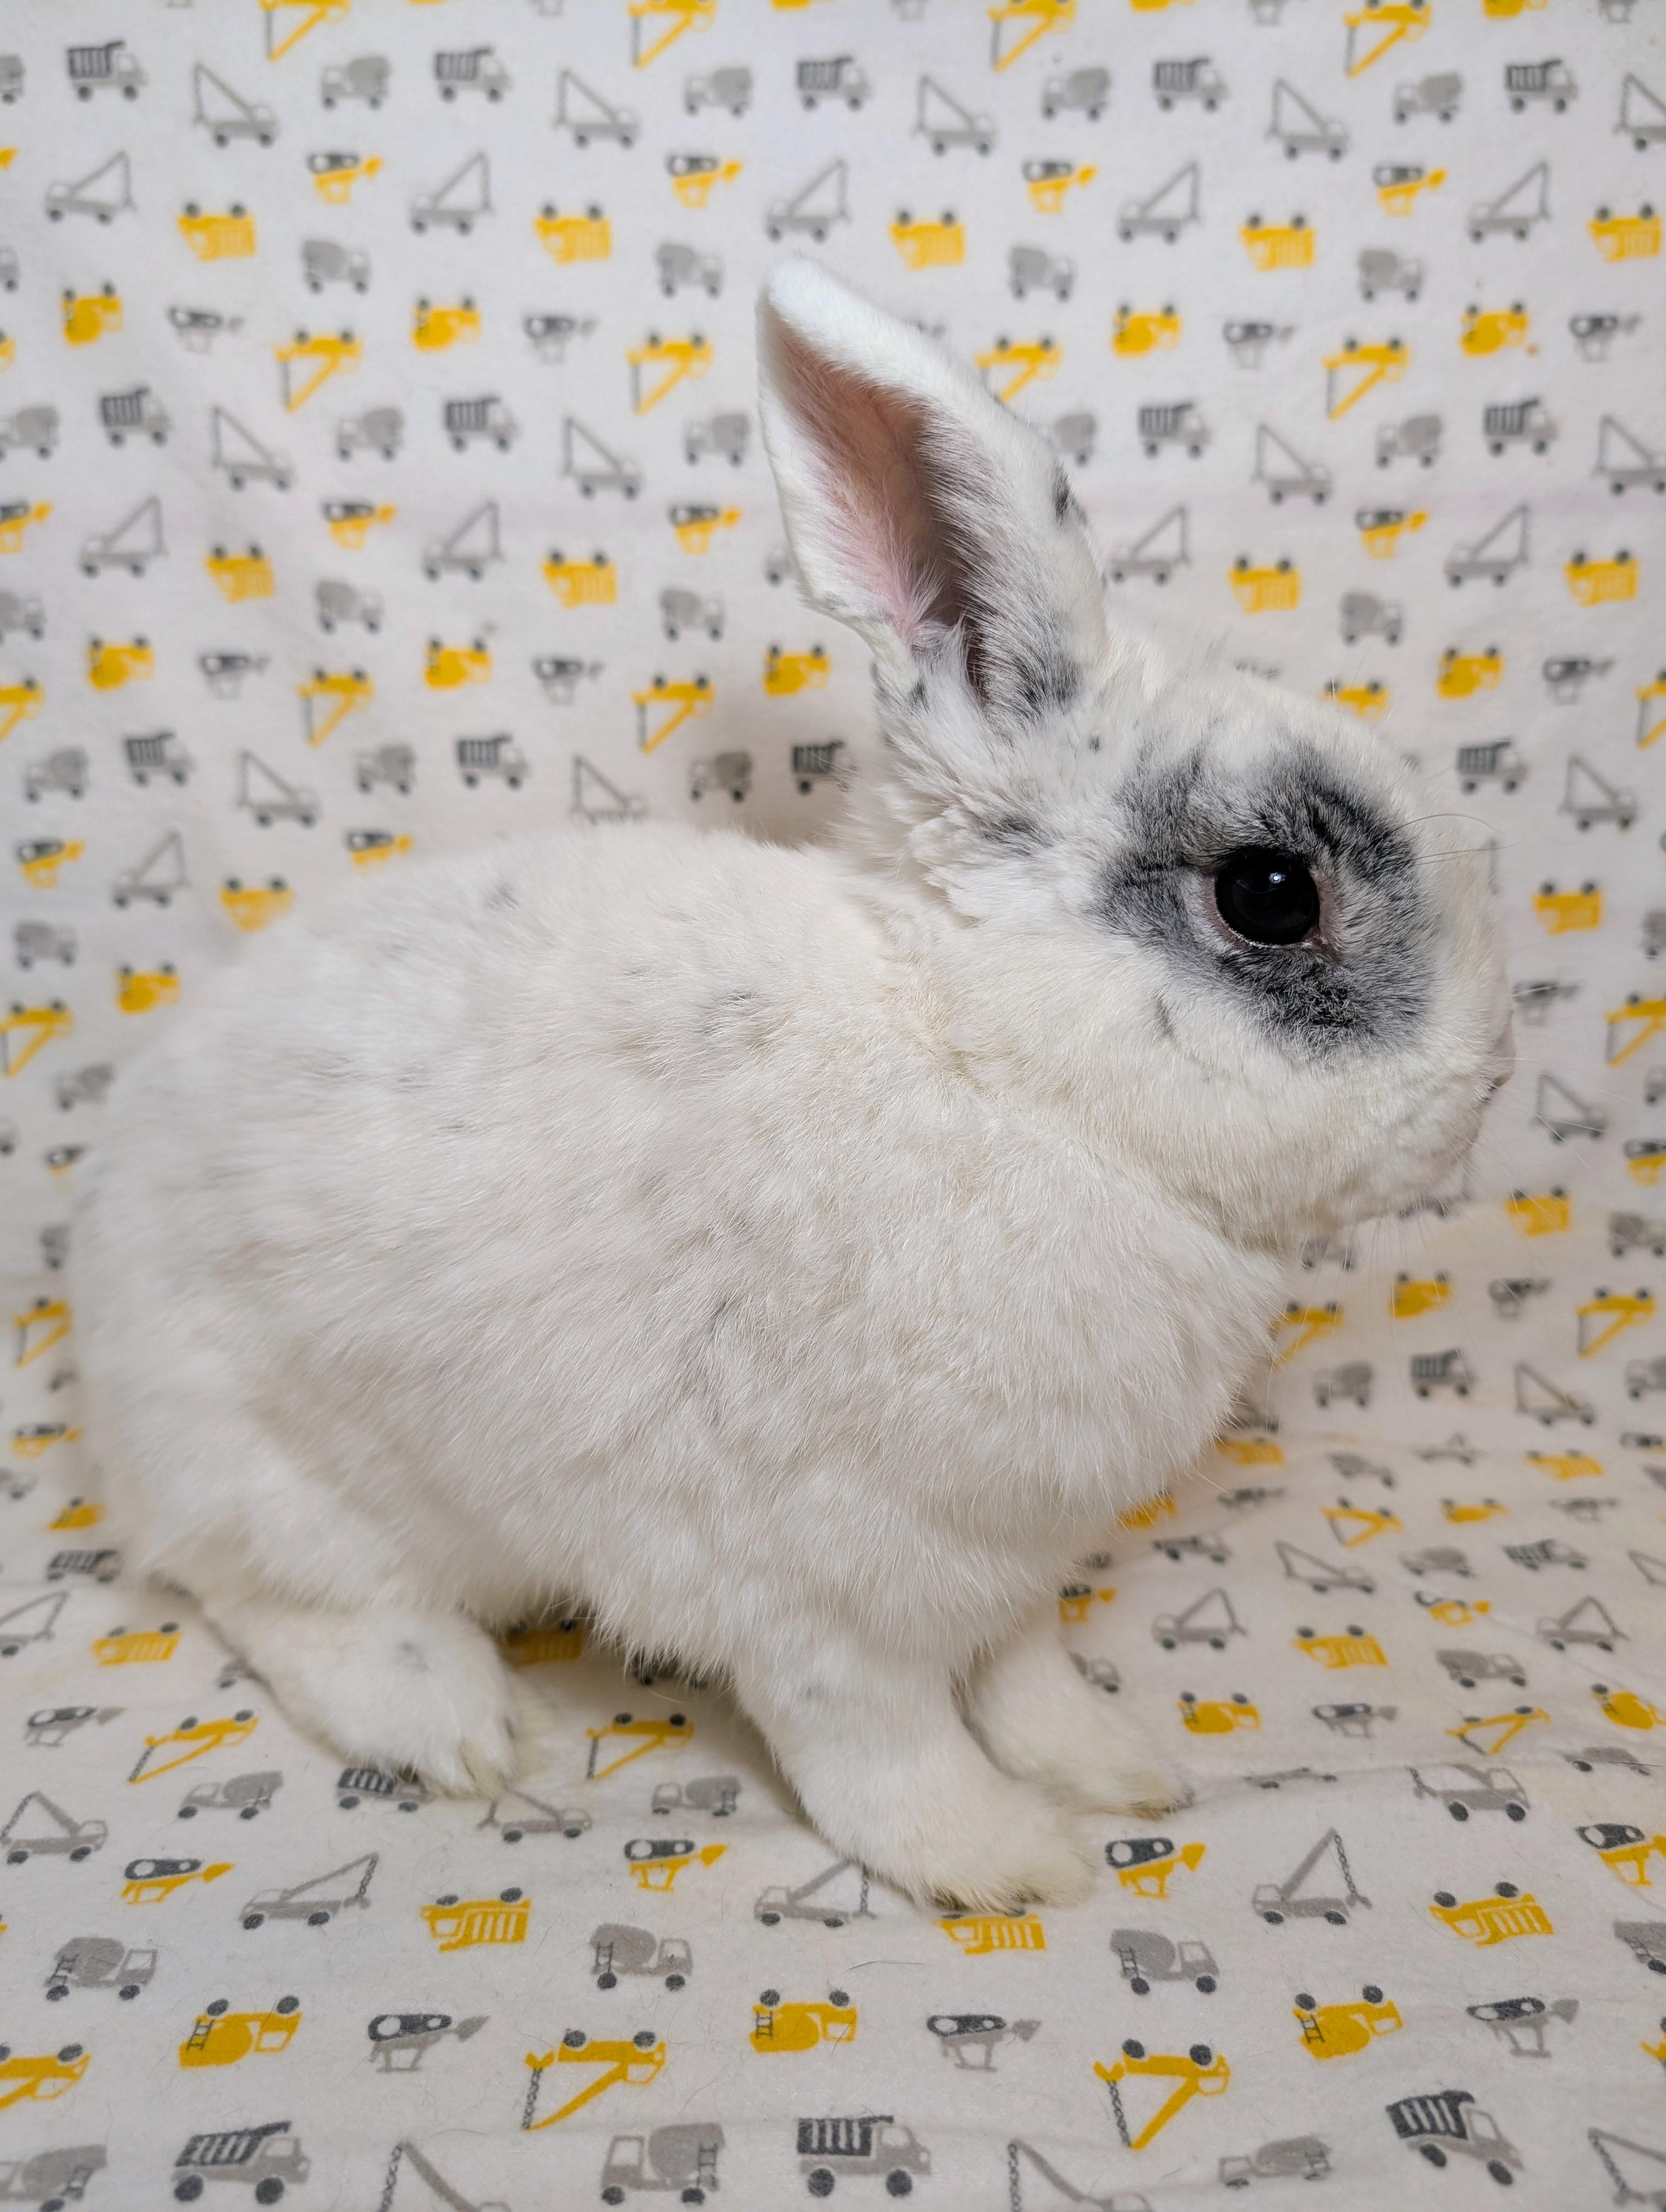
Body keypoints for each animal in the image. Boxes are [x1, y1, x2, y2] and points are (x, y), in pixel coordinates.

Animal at [74, 258, 1510, 1913]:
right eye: (1272, 893)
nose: (1487, 1079)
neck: (997, 1071)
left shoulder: (1009, 1571)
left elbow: (1022, 1674)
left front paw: (1114, 1767)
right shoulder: (825, 1589)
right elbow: (878, 1747)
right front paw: (1008, 1861)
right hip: (276, 1468)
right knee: (284, 1603)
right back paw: (465, 1728)